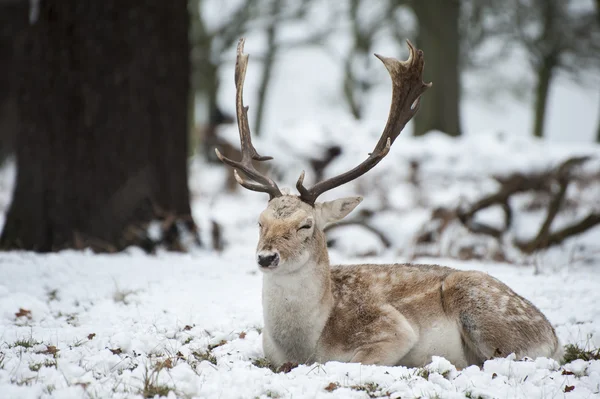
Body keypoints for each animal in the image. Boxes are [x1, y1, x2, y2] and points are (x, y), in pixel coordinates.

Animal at [217, 39, 564, 370]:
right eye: (260, 221)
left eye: (306, 224)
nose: (266, 257)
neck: (304, 345)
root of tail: (553, 337)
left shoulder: (393, 328)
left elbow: (352, 361)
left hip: (486, 312)